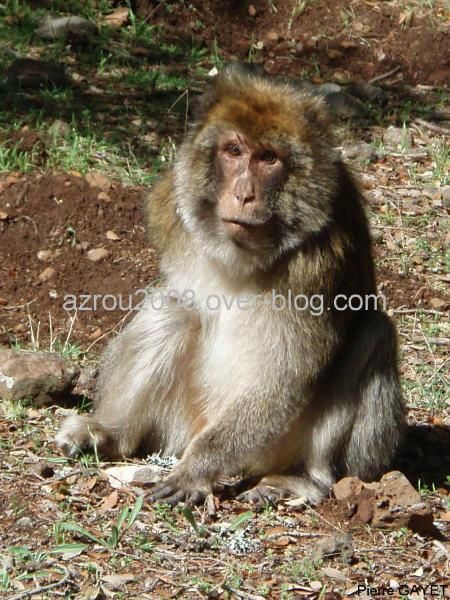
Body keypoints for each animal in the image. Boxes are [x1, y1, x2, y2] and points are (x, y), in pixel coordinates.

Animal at [54, 65, 406, 506]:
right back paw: (111, 434)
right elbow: (177, 301)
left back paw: (306, 479)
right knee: (173, 310)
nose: (243, 193)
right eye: (234, 151)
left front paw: (197, 469)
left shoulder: (320, 264)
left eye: (268, 158)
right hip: (181, 421)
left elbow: (286, 377)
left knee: (373, 333)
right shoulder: (172, 211)